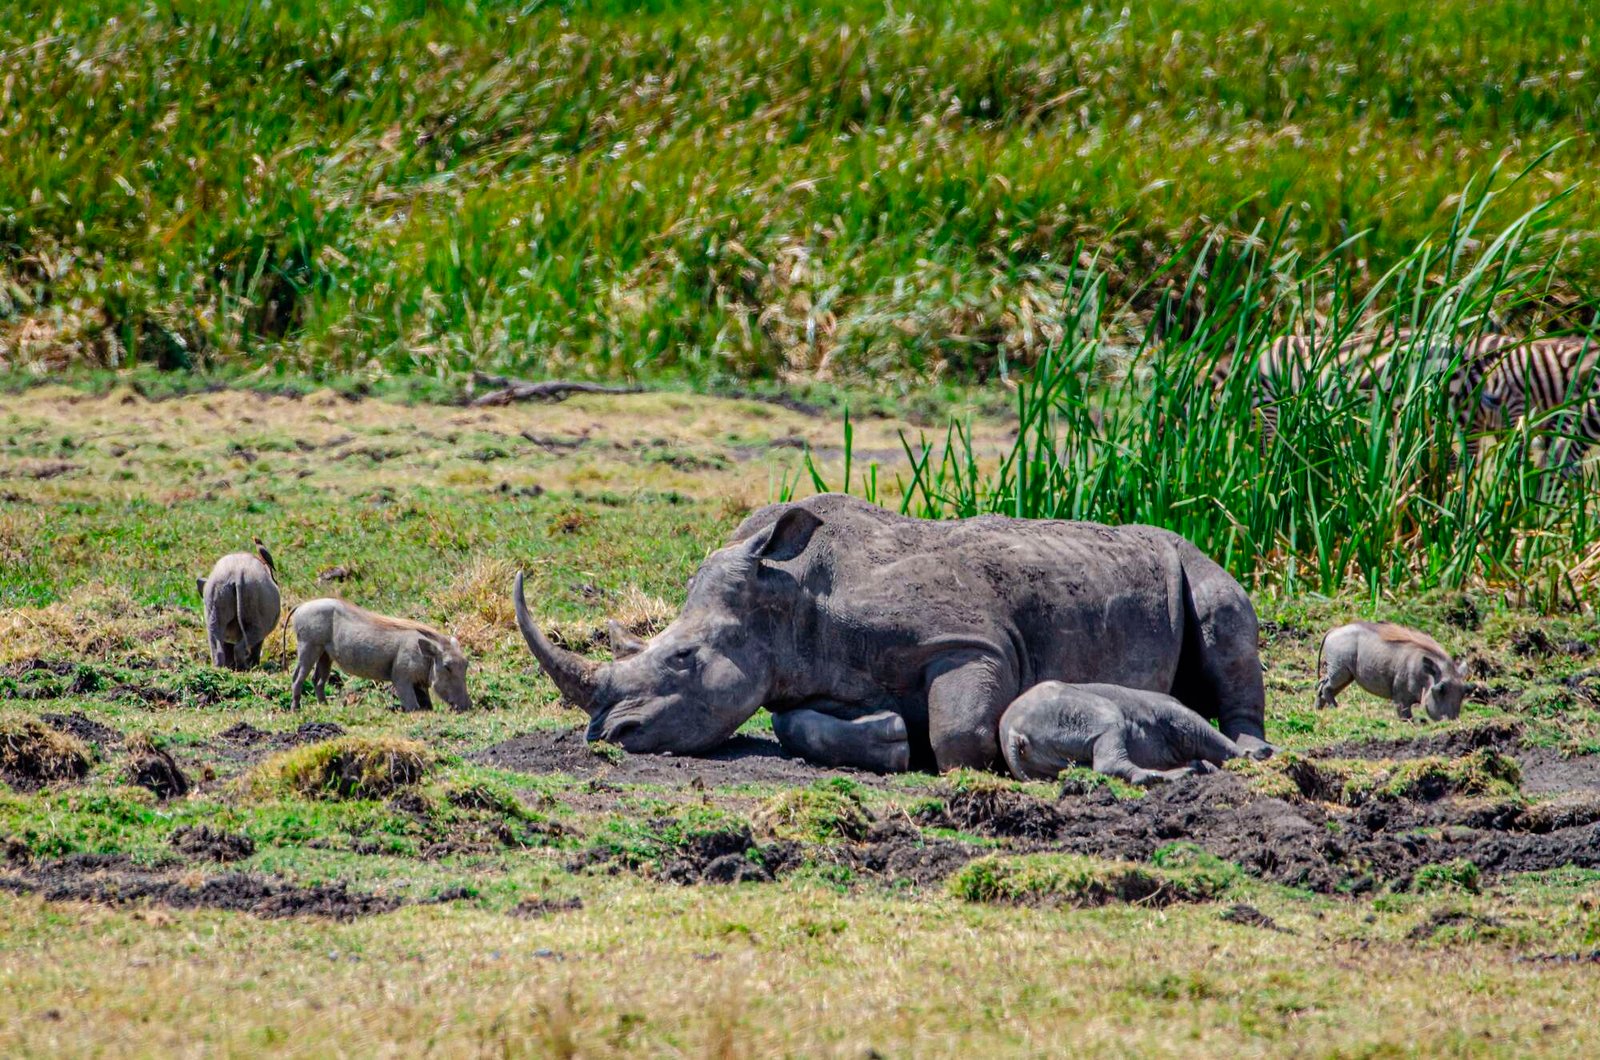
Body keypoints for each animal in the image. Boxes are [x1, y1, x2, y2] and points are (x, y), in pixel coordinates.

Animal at [513, 494, 1268, 773]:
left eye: (683, 658)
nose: (607, 735)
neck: (786, 596)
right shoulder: (801, 672)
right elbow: (795, 725)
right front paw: (891, 739)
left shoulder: (970, 640)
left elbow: (962, 729)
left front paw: (940, 754)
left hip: (1192, 557)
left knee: (1221, 613)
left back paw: (1254, 751)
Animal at [999, 682, 1260, 786]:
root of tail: (1012, 733)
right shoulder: (1173, 714)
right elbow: (1201, 732)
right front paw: (1251, 756)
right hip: (1072, 713)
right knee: (1109, 743)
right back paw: (1160, 776)